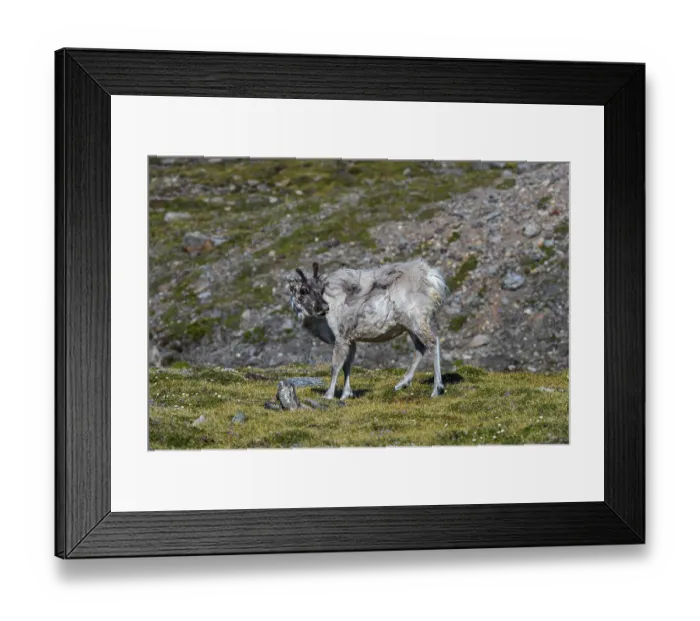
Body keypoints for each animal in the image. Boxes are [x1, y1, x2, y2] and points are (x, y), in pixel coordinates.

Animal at [287, 260, 448, 400]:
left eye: (321, 289)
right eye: (303, 290)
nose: (324, 307)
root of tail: (432, 277)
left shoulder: (341, 336)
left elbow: (335, 366)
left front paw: (329, 395)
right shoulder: (351, 339)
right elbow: (347, 365)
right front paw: (346, 394)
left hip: (417, 319)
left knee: (433, 342)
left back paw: (436, 389)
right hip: (409, 325)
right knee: (420, 348)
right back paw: (401, 384)